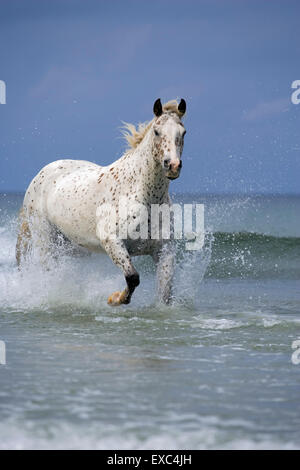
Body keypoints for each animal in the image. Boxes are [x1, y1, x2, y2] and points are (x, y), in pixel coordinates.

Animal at [16, 97, 186, 306]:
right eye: (157, 131)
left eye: (183, 132)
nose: (173, 166)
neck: (142, 197)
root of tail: (40, 175)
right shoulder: (112, 242)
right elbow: (133, 277)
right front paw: (116, 299)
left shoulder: (164, 251)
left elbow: (164, 293)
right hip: (46, 241)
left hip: (73, 247)